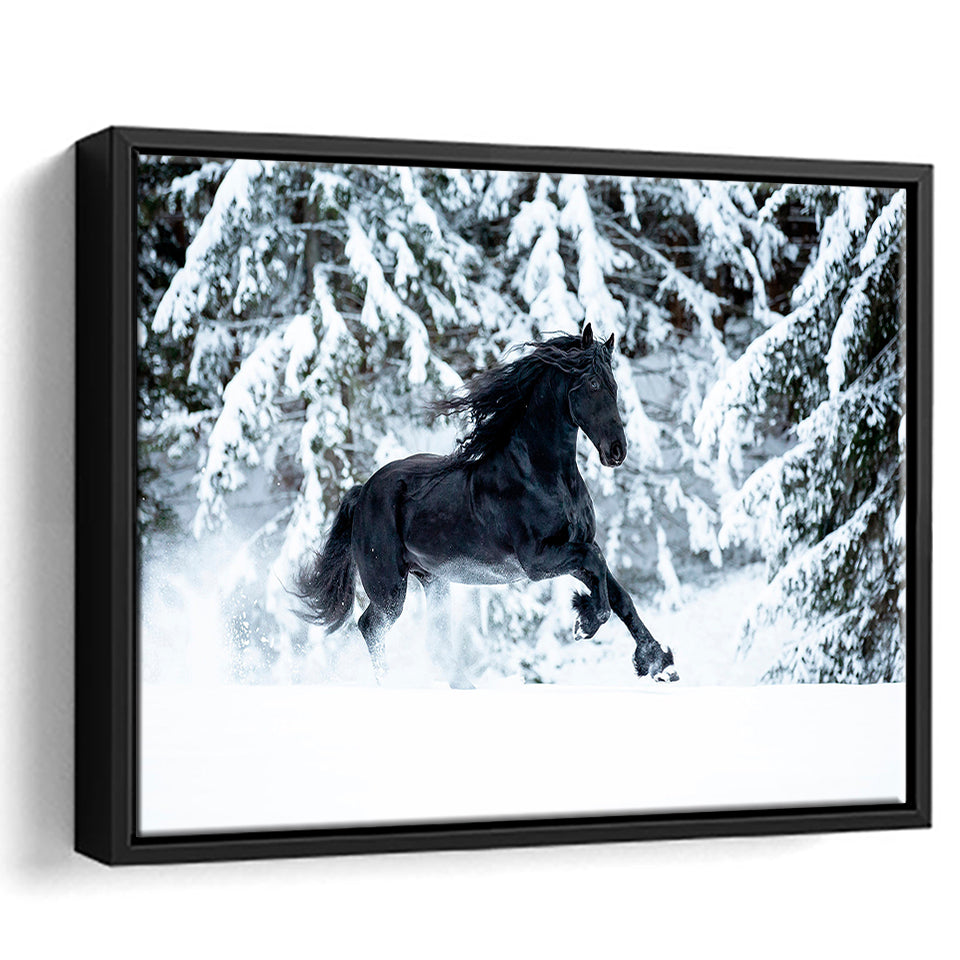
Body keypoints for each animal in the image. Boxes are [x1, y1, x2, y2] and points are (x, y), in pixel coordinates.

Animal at [294, 323, 678, 685]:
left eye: (615, 386)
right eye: (594, 384)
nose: (617, 450)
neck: (541, 475)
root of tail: (363, 492)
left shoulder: (575, 546)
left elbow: (619, 594)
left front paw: (659, 664)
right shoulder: (538, 560)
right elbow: (598, 569)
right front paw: (585, 623)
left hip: (433, 579)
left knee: (433, 637)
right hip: (389, 586)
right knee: (371, 626)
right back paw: (392, 685)